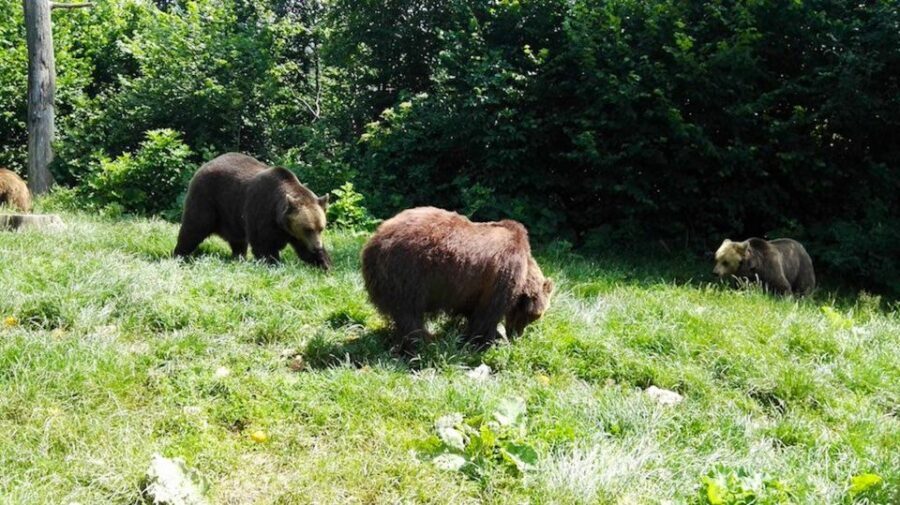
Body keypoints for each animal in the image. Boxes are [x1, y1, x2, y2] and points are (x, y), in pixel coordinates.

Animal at [173, 152, 331, 269]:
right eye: (308, 229)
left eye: (321, 228)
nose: (317, 247)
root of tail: (205, 164)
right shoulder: (262, 209)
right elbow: (264, 244)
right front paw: (273, 263)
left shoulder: (293, 231)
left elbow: (304, 249)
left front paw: (324, 264)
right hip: (208, 198)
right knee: (194, 227)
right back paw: (180, 255)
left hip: (231, 215)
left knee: (237, 240)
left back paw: (238, 257)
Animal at [361, 206, 554, 352]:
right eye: (534, 315)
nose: (516, 335)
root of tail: (373, 243)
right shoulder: (503, 274)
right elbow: (487, 315)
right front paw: (488, 341)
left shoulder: (471, 289)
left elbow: (471, 311)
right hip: (409, 272)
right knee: (409, 313)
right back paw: (423, 341)